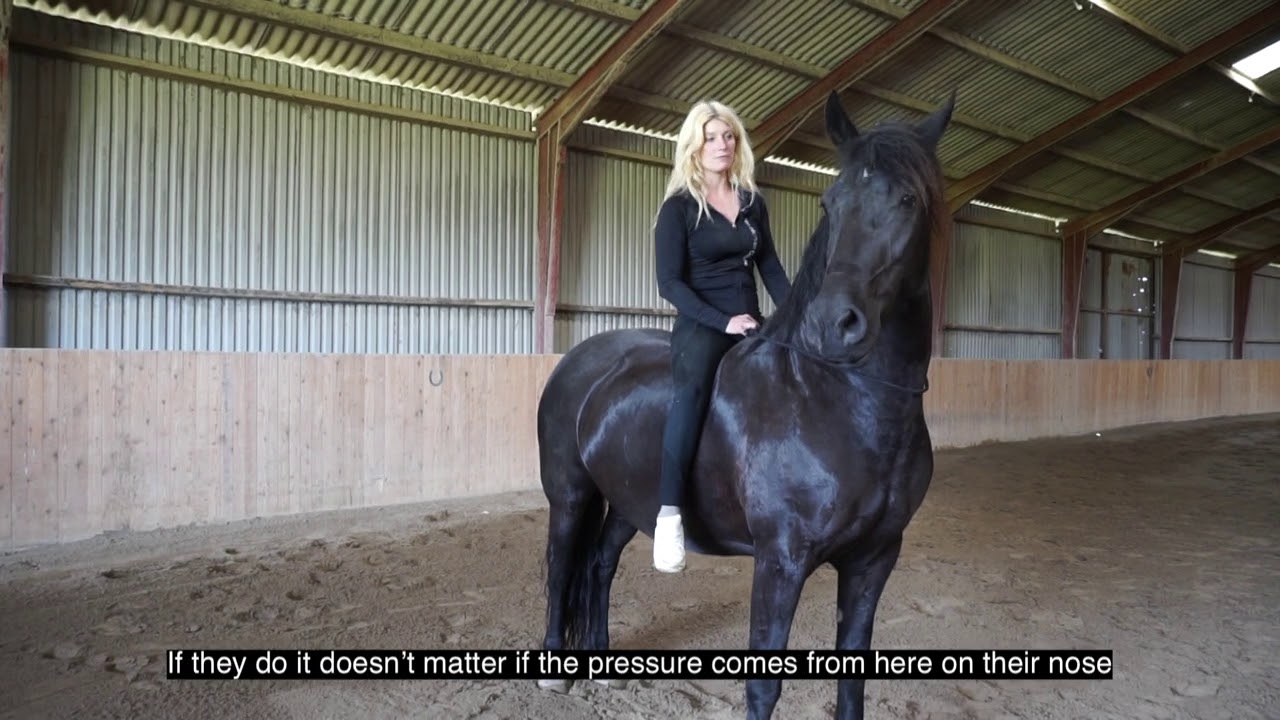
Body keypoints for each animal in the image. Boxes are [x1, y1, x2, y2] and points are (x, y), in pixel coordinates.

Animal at [534, 90, 953, 720]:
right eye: (831, 202)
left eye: (906, 199)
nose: (834, 325)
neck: (839, 401)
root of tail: (576, 361)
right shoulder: (780, 561)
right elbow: (763, 685)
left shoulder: (875, 558)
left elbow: (853, 678)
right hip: (569, 494)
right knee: (562, 568)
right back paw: (554, 673)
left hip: (628, 500)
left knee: (599, 564)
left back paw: (603, 668)